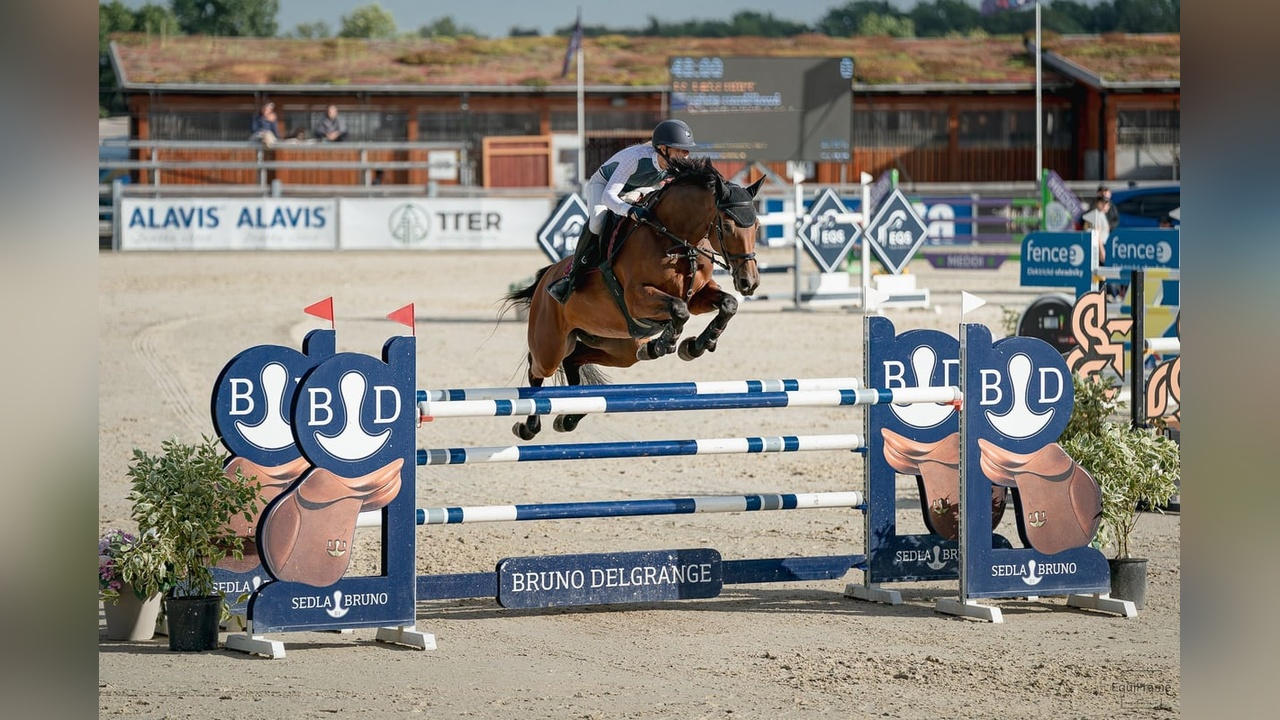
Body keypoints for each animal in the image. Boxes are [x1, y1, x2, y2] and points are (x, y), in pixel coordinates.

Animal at [503, 156, 763, 440]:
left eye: (757, 225)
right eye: (726, 226)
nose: (749, 282)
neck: (675, 240)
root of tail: (545, 278)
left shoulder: (699, 295)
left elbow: (728, 304)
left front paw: (697, 345)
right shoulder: (638, 298)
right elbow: (679, 309)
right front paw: (667, 344)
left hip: (616, 348)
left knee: (575, 360)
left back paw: (571, 416)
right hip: (550, 345)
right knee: (537, 369)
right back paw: (528, 427)